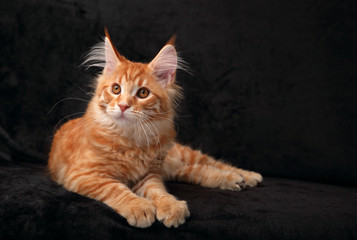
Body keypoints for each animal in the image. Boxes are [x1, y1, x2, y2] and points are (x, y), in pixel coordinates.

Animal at [48, 29, 262, 228]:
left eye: (143, 93)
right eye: (116, 89)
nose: (123, 106)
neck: (130, 139)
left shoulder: (149, 175)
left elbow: (158, 192)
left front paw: (170, 206)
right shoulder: (85, 175)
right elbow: (116, 189)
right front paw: (139, 207)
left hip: (179, 155)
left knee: (210, 162)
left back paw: (248, 176)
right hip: (174, 168)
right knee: (198, 171)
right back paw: (235, 179)